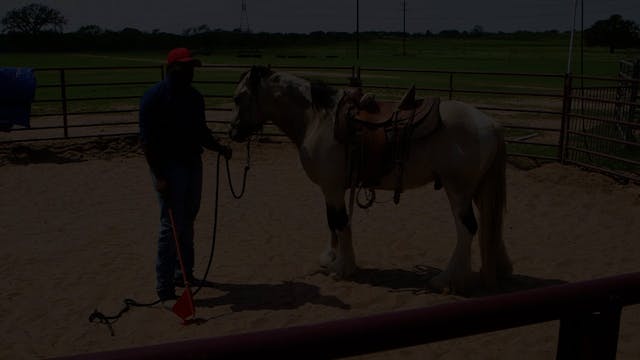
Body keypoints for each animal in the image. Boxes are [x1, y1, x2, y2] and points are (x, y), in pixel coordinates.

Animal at [228, 66, 512, 294]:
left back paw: (446, 280)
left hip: (458, 191)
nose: (233, 132)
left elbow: (339, 222)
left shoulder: (332, 188)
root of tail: (491, 123)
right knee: (490, 227)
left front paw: (343, 267)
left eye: (239, 97)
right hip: (478, 190)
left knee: (467, 229)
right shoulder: (332, 188)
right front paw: (332, 258)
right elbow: (333, 222)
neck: (319, 119)